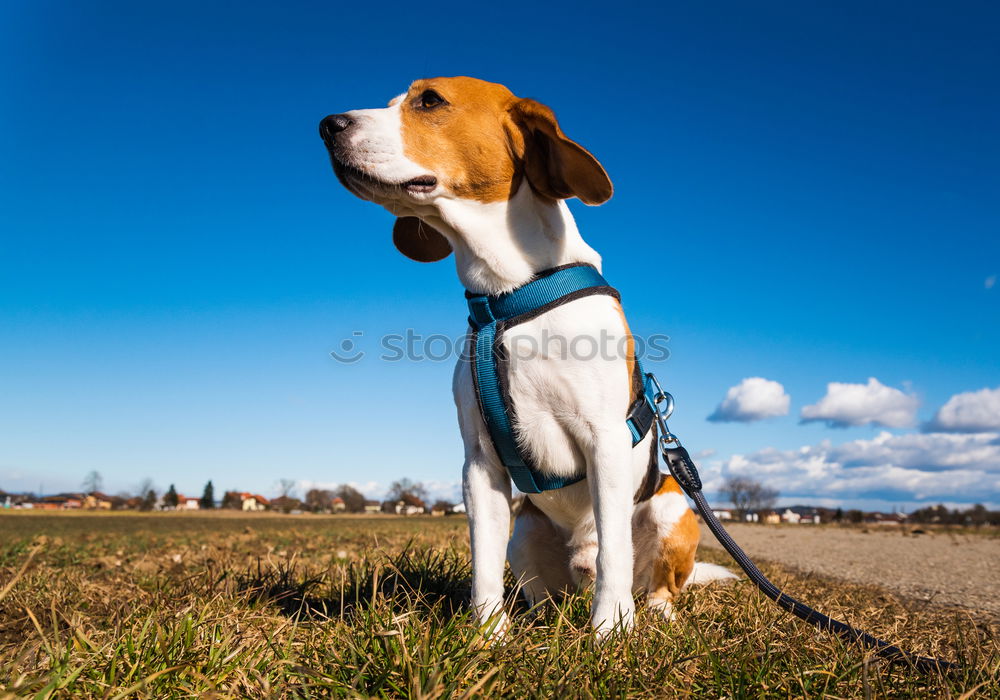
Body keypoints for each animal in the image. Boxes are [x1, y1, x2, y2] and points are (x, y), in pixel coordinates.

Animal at [322, 76, 736, 640]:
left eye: (429, 100)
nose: (327, 125)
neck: (511, 297)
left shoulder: (604, 441)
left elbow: (615, 552)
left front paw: (609, 632)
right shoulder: (480, 464)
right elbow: (482, 561)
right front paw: (486, 635)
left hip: (674, 509)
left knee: (651, 578)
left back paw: (652, 612)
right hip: (526, 532)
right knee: (541, 589)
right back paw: (533, 619)